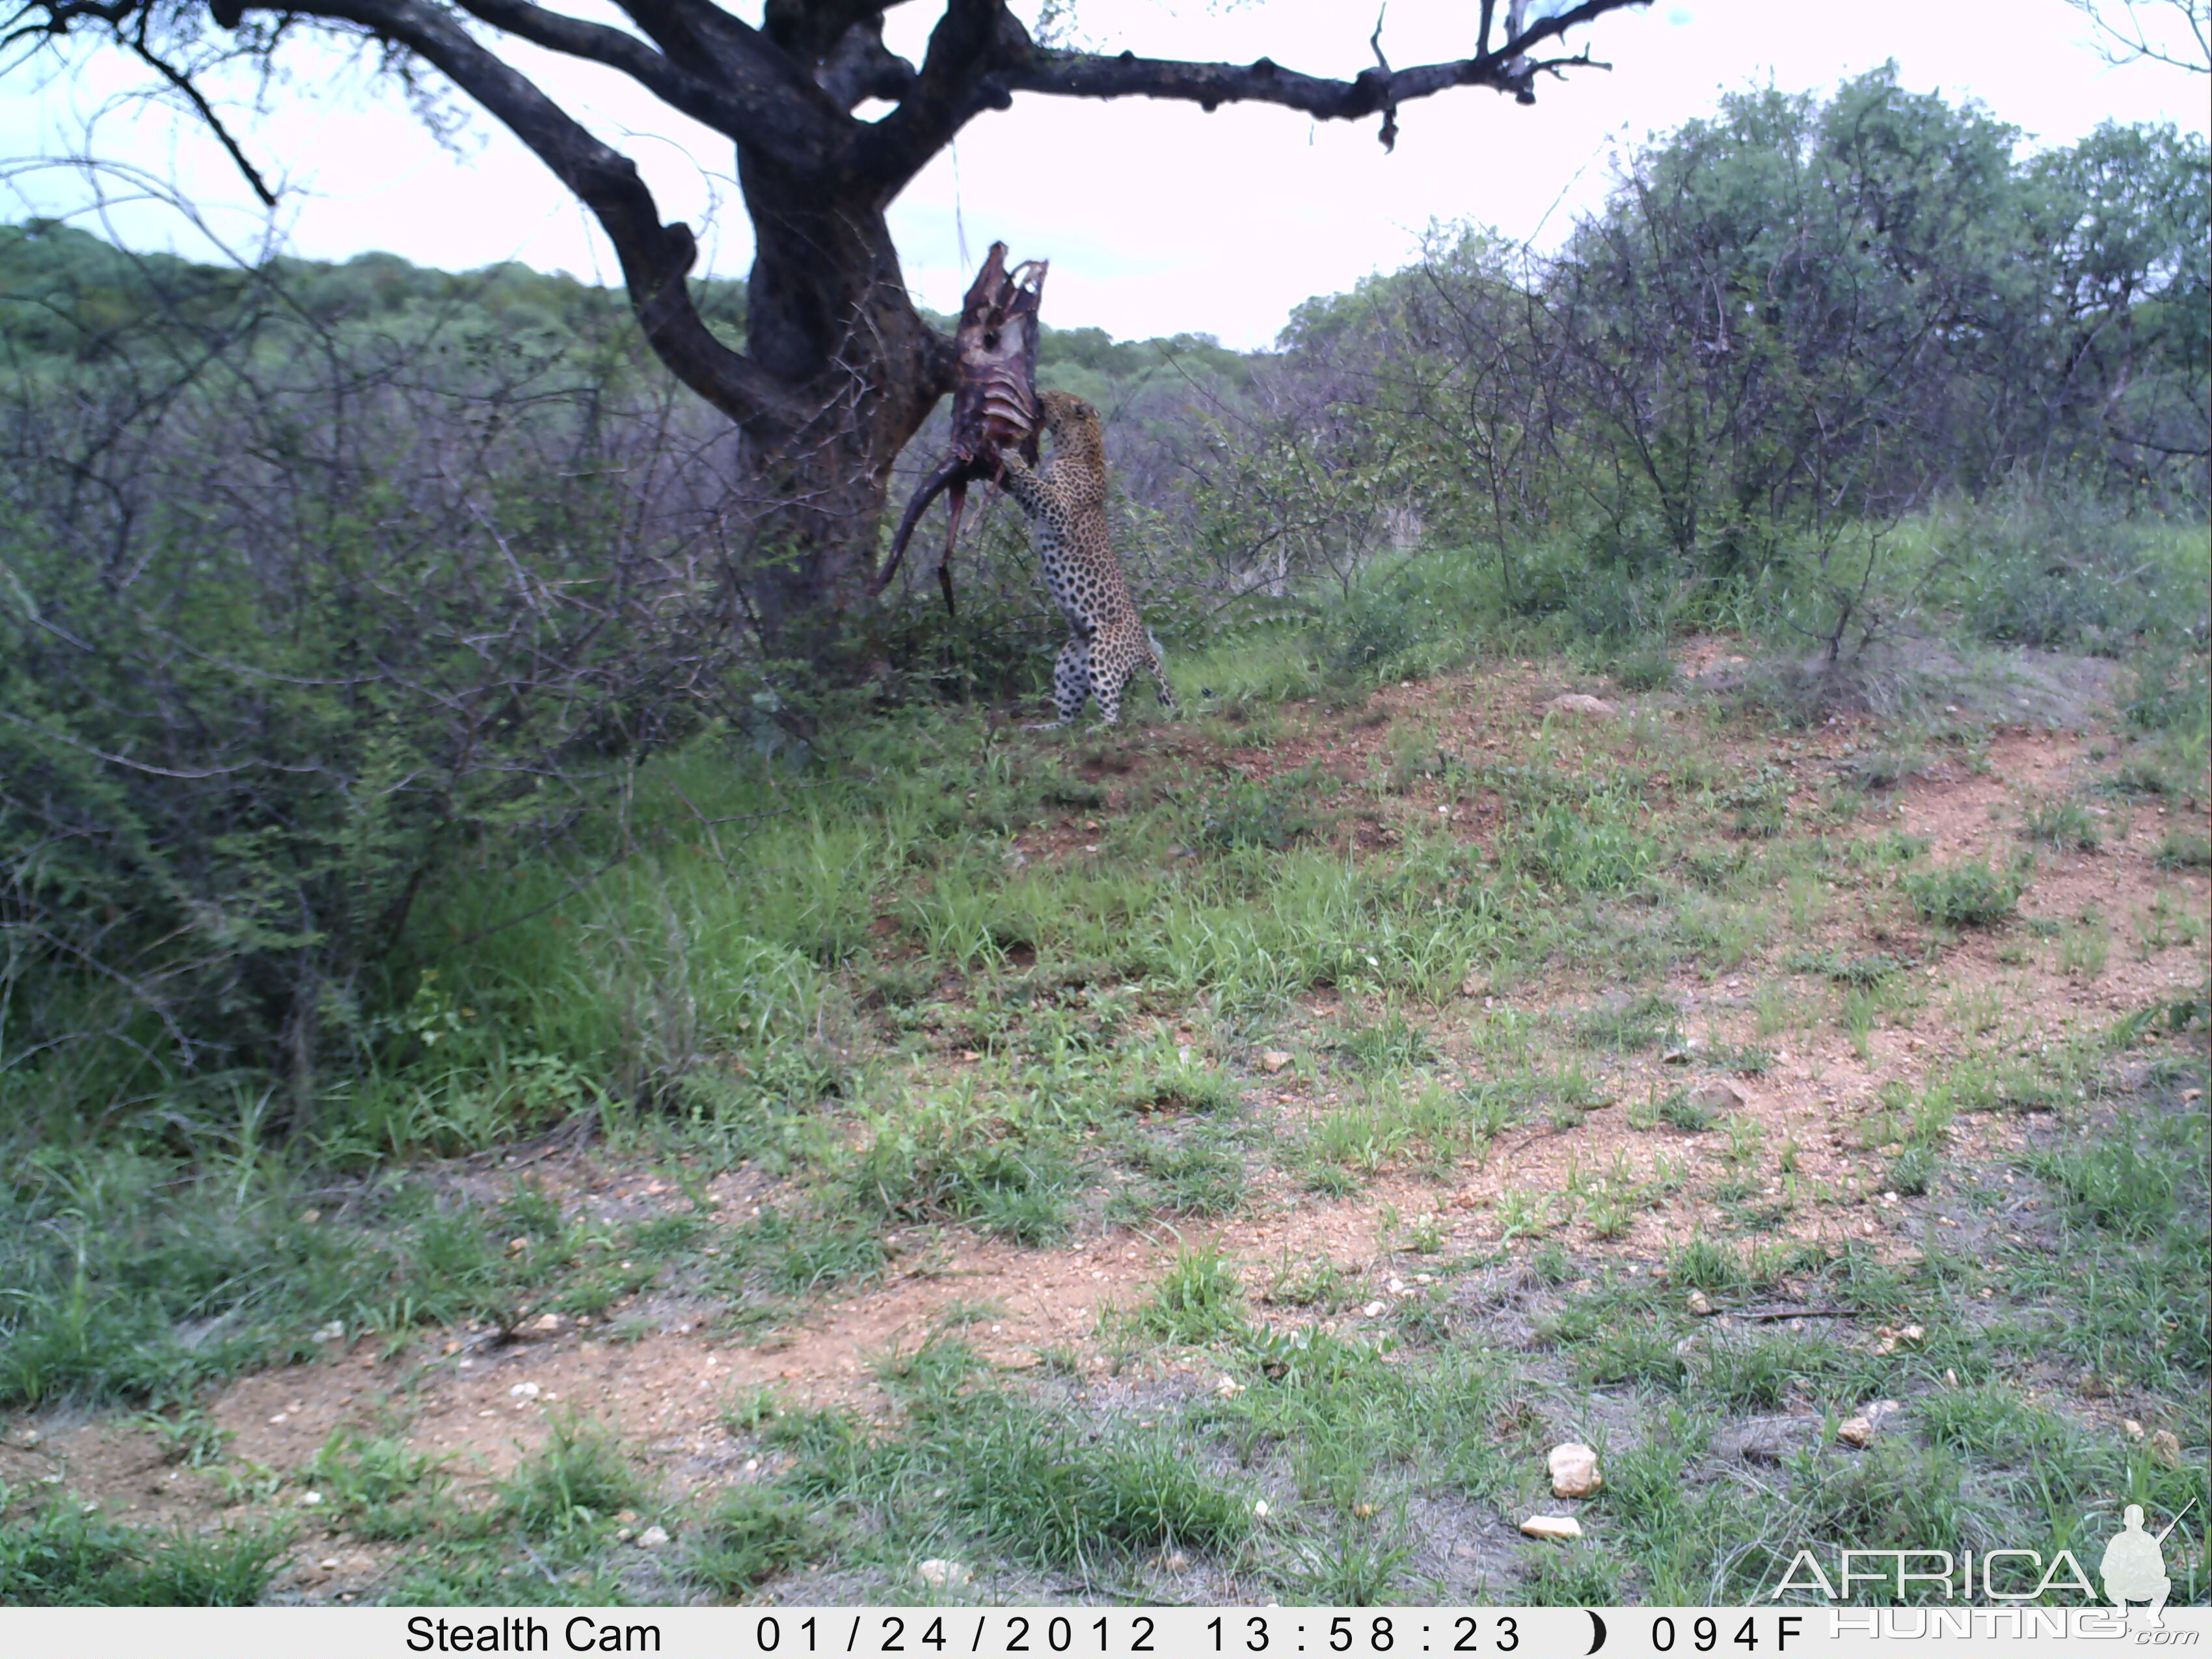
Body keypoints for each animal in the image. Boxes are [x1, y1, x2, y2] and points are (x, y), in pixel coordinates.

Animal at [999, 394, 1176, 730]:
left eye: (1055, 397)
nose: (1039, 394)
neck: (1070, 446)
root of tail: (1144, 647)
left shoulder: (1058, 512)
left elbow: (1037, 486)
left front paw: (1011, 458)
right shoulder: (1036, 510)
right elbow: (1027, 492)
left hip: (1104, 655)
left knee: (1112, 712)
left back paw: (1099, 728)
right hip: (1069, 664)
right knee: (1070, 715)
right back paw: (1045, 727)